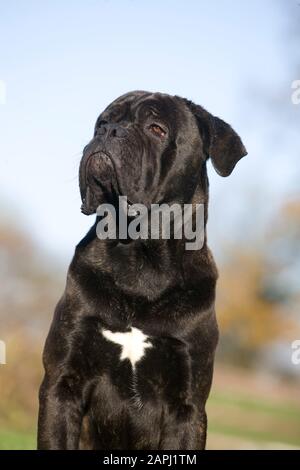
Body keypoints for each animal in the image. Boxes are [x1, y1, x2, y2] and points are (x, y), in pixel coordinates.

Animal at [37, 91, 246, 448]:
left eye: (156, 129)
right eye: (102, 122)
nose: (109, 132)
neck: (142, 261)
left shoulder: (187, 407)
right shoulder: (62, 383)